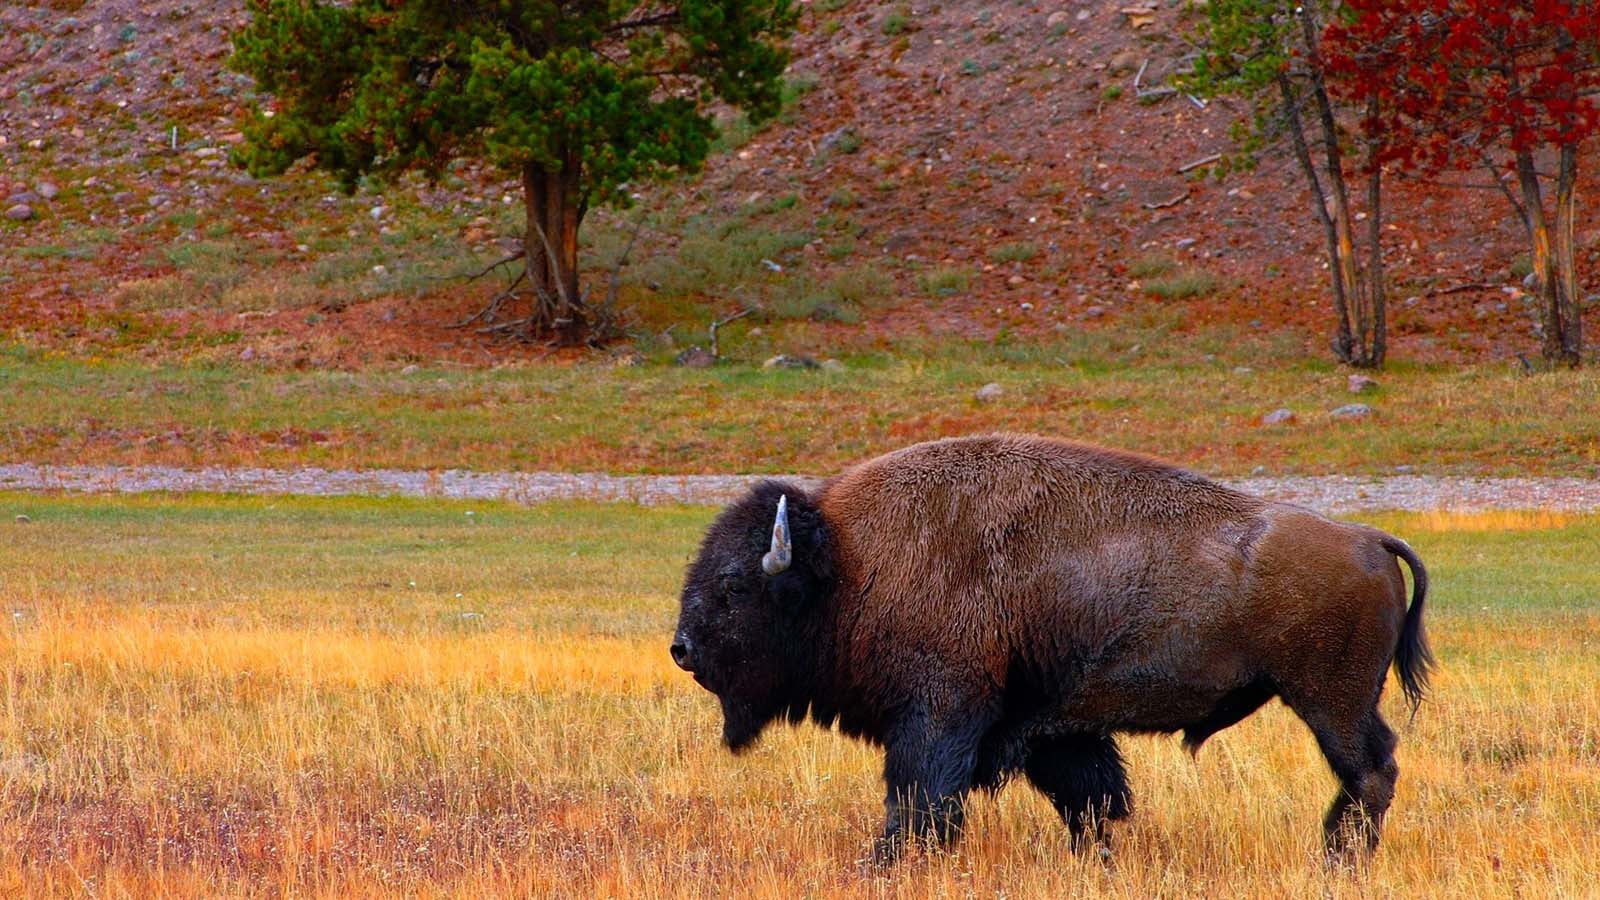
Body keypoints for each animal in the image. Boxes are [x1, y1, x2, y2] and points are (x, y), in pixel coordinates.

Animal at [671, 434, 1432, 863]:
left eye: (734, 585)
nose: (681, 648)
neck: (851, 561)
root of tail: (1368, 537)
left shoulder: (939, 715)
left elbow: (919, 799)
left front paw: (882, 864)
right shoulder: (1053, 730)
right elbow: (1090, 800)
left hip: (1330, 702)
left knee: (1371, 770)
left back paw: (1337, 858)